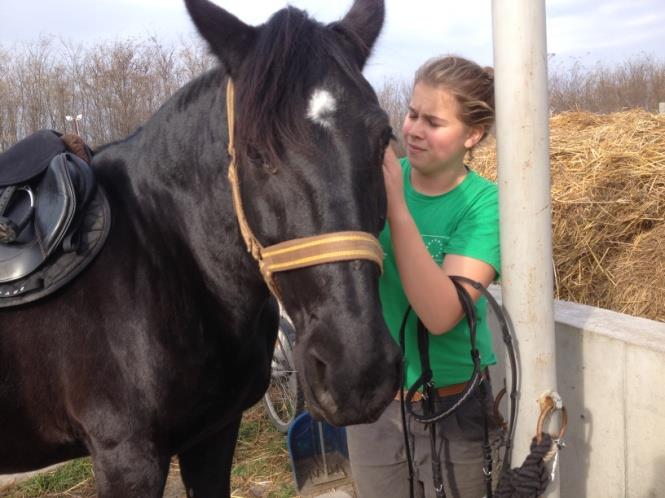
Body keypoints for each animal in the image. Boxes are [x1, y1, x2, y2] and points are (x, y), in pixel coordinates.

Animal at [0, 0, 400, 496]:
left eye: (384, 139)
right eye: (255, 152)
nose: (358, 374)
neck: (161, 256)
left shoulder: (214, 434)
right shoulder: (126, 457)